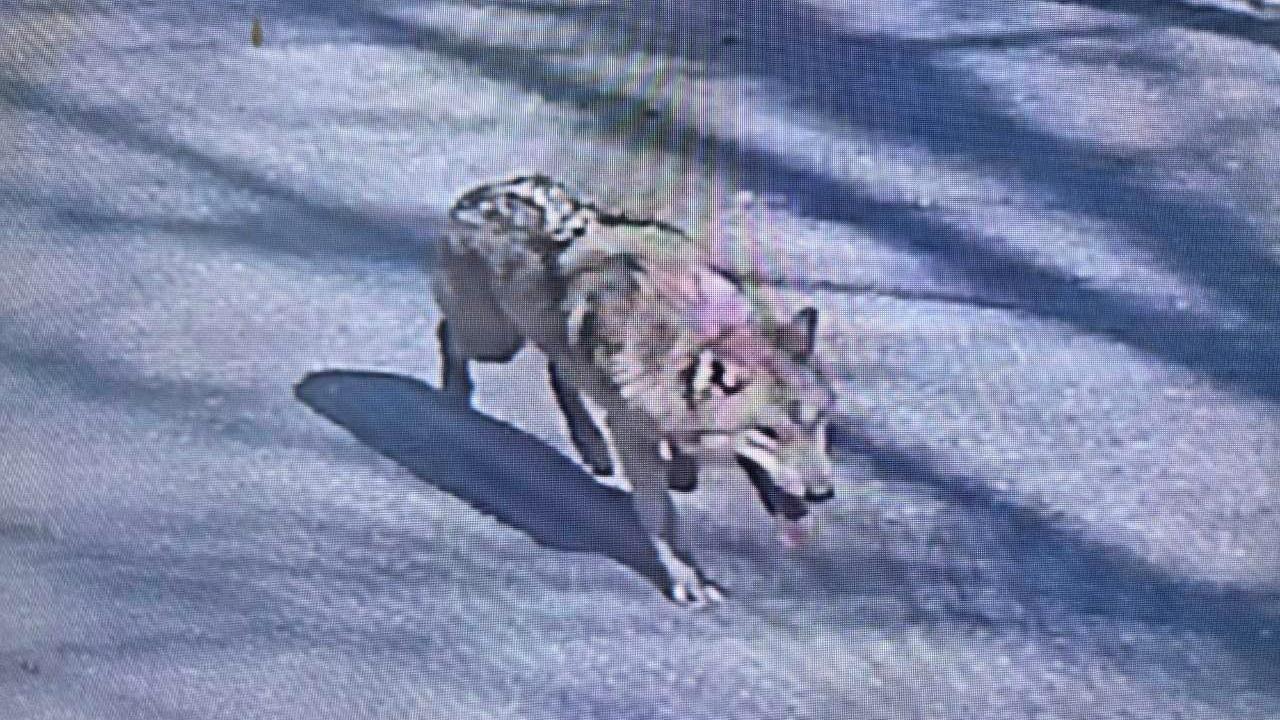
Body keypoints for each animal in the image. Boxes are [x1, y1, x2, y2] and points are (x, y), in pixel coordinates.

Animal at [430, 175, 835, 605]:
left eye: (818, 424)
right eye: (768, 433)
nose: (823, 494)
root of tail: (481, 193)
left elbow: (696, 466)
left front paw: (684, 471)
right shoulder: (632, 433)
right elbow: (663, 519)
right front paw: (690, 580)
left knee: (560, 372)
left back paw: (592, 447)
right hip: (495, 343)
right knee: (449, 334)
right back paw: (455, 396)